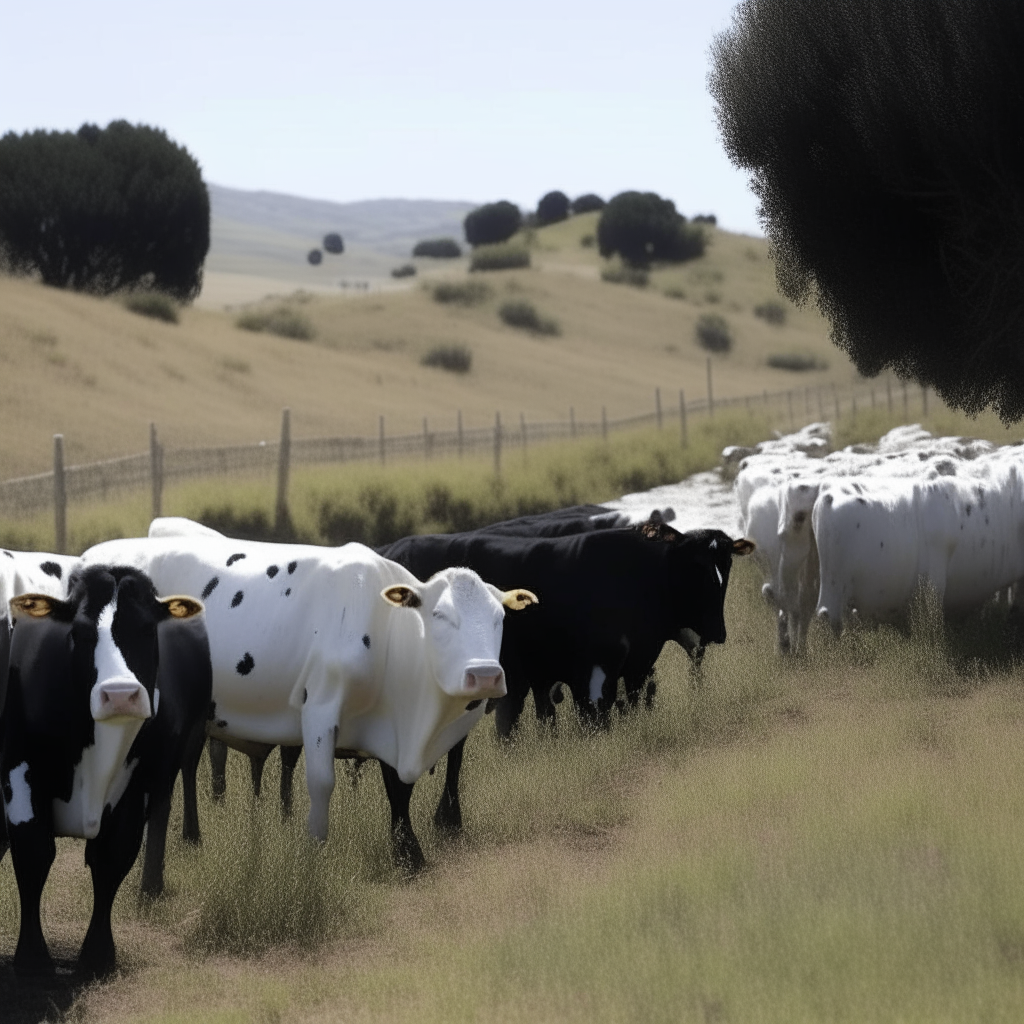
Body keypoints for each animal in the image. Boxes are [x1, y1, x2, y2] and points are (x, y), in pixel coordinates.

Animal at [0, 569, 209, 974]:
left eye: (147, 629)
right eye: (79, 632)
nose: (121, 694)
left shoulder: (141, 783)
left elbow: (113, 856)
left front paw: (98, 956)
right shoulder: (18, 762)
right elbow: (33, 850)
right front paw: (32, 960)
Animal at [79, 532, 536, 868]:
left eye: (499, 617)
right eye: (440, 616)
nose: (485, 674)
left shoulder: (390, 721)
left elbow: (398, 790)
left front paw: (408, 854)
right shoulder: (320, 710)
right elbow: (321, 783)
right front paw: (316, 851)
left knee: (186, 766)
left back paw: (191, 836)